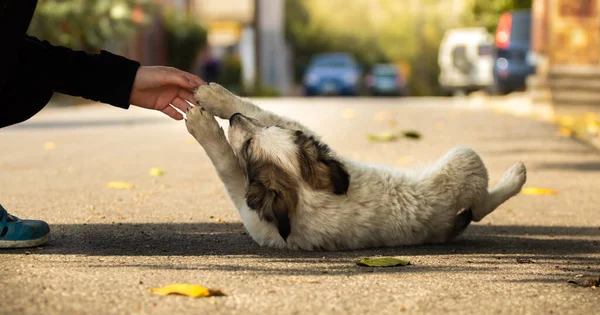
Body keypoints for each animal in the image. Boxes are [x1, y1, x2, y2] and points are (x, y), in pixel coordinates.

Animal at [185, 84, 528, 252]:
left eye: (250, 144)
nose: (233, 120)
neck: (305, 199)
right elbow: (227, 162)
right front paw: (210, 116)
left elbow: (256, 122)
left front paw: (212, 101)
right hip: (465, 158)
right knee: (479, 208)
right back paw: (515, 178)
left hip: (464, 158)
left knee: (480, 207)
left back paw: (515, 177)